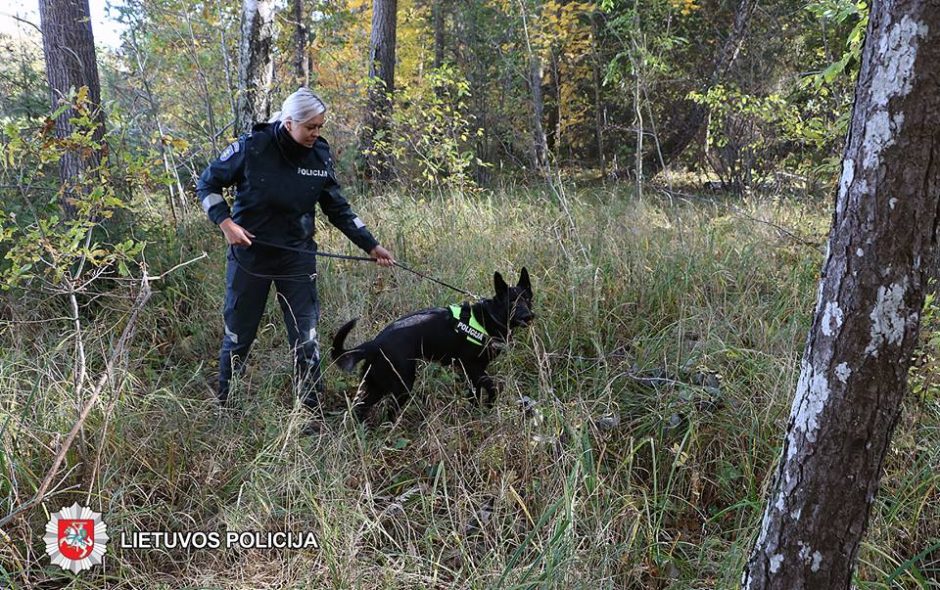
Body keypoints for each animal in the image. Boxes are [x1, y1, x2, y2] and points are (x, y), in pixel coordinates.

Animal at [334, 270, 532, 424]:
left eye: (527, 299)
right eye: (512, 302)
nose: (529, 316)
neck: (489, 316)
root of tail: (374, 344)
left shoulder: (471, 373)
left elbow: (474, 395)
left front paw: (477, 413)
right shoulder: (473, 368)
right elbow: (492, 388)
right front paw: (489, 406)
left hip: (378, 385)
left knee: (360, 408)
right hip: (402, 385)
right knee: (389, 410)